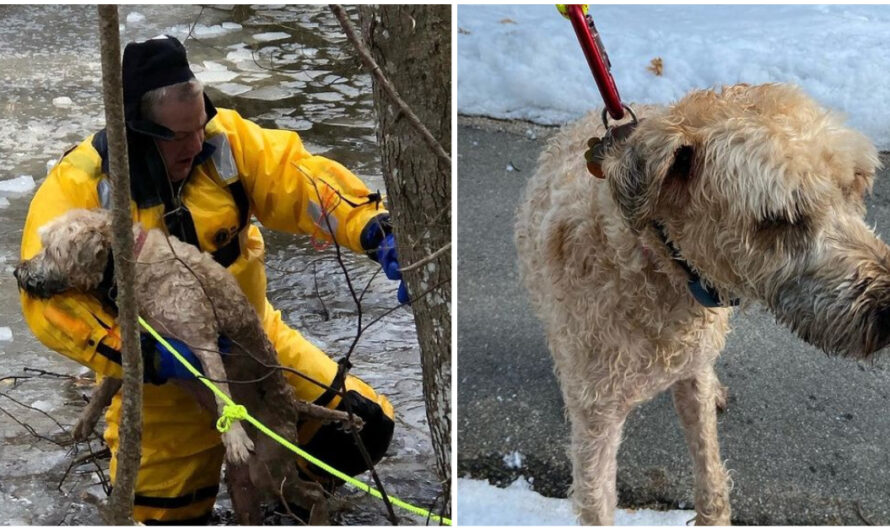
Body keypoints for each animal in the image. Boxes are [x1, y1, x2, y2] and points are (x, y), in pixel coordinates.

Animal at [13, 207, 358, 524]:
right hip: (243, 480)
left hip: (271, 467)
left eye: (49, 249)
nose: (19, 271)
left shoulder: (201, 337)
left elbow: (221, 389)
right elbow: (110, 382)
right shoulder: (139, 346)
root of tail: (293, 404)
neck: (132, 262)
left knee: (314, 492)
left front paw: (233, 435)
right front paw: (85, 420)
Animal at [510, 84, 884, 520]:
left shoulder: (691, 375)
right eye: (779, 218)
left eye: (854, 184)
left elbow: (711, 472)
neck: (655, 259)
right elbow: (597, 499)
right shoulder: (597, 422)